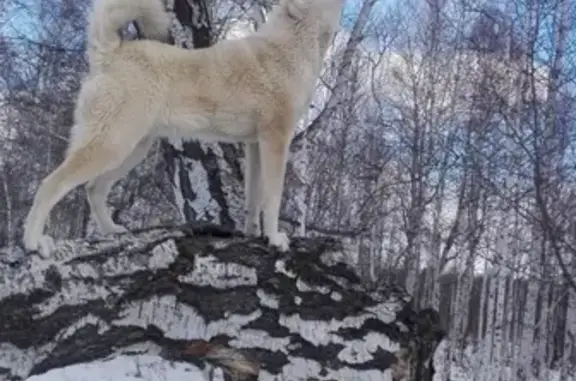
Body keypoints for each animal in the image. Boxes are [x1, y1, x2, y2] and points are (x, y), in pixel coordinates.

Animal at [21, 0, 342, 256]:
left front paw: (252, 234)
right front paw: (275, 239)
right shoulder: (276, 139)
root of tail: (111, 52)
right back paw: (34, 243)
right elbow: (273, 198)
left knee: (93, 189)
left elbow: (254, 197)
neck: (293, 41)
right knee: (51, 184)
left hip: (131, 149)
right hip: (111, 145)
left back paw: (113, 230)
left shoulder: (255, 146)